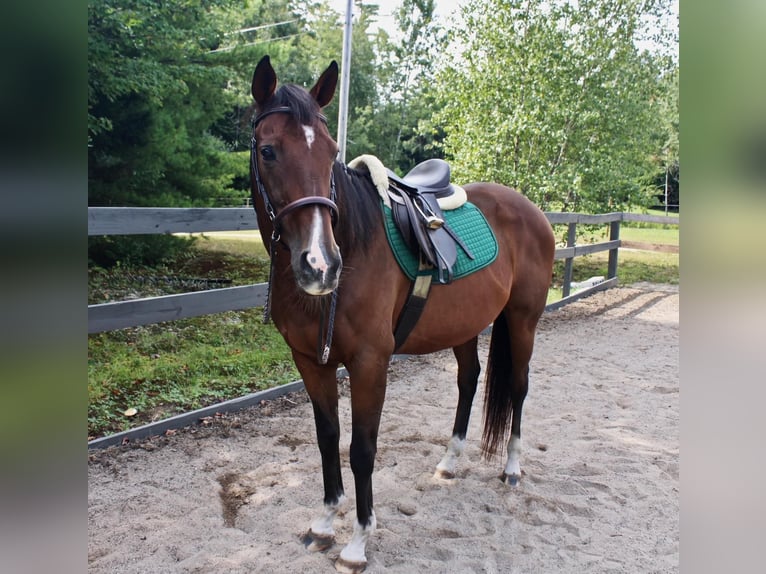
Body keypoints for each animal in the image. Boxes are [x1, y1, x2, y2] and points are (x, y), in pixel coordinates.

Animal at [249, 55, 556, 574]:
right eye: (268, 151)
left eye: (331, 151)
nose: (321, 265)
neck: (356, 243)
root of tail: (530, 209)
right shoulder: (311, 362)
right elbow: (328, 440)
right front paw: (324, 523)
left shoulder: (371, 364)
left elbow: (362, 450)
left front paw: (357, 542)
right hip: (465, 326)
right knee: (469, 380)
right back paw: (449, 461)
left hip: (522, 321)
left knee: (517, 387)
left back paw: (512, 468)